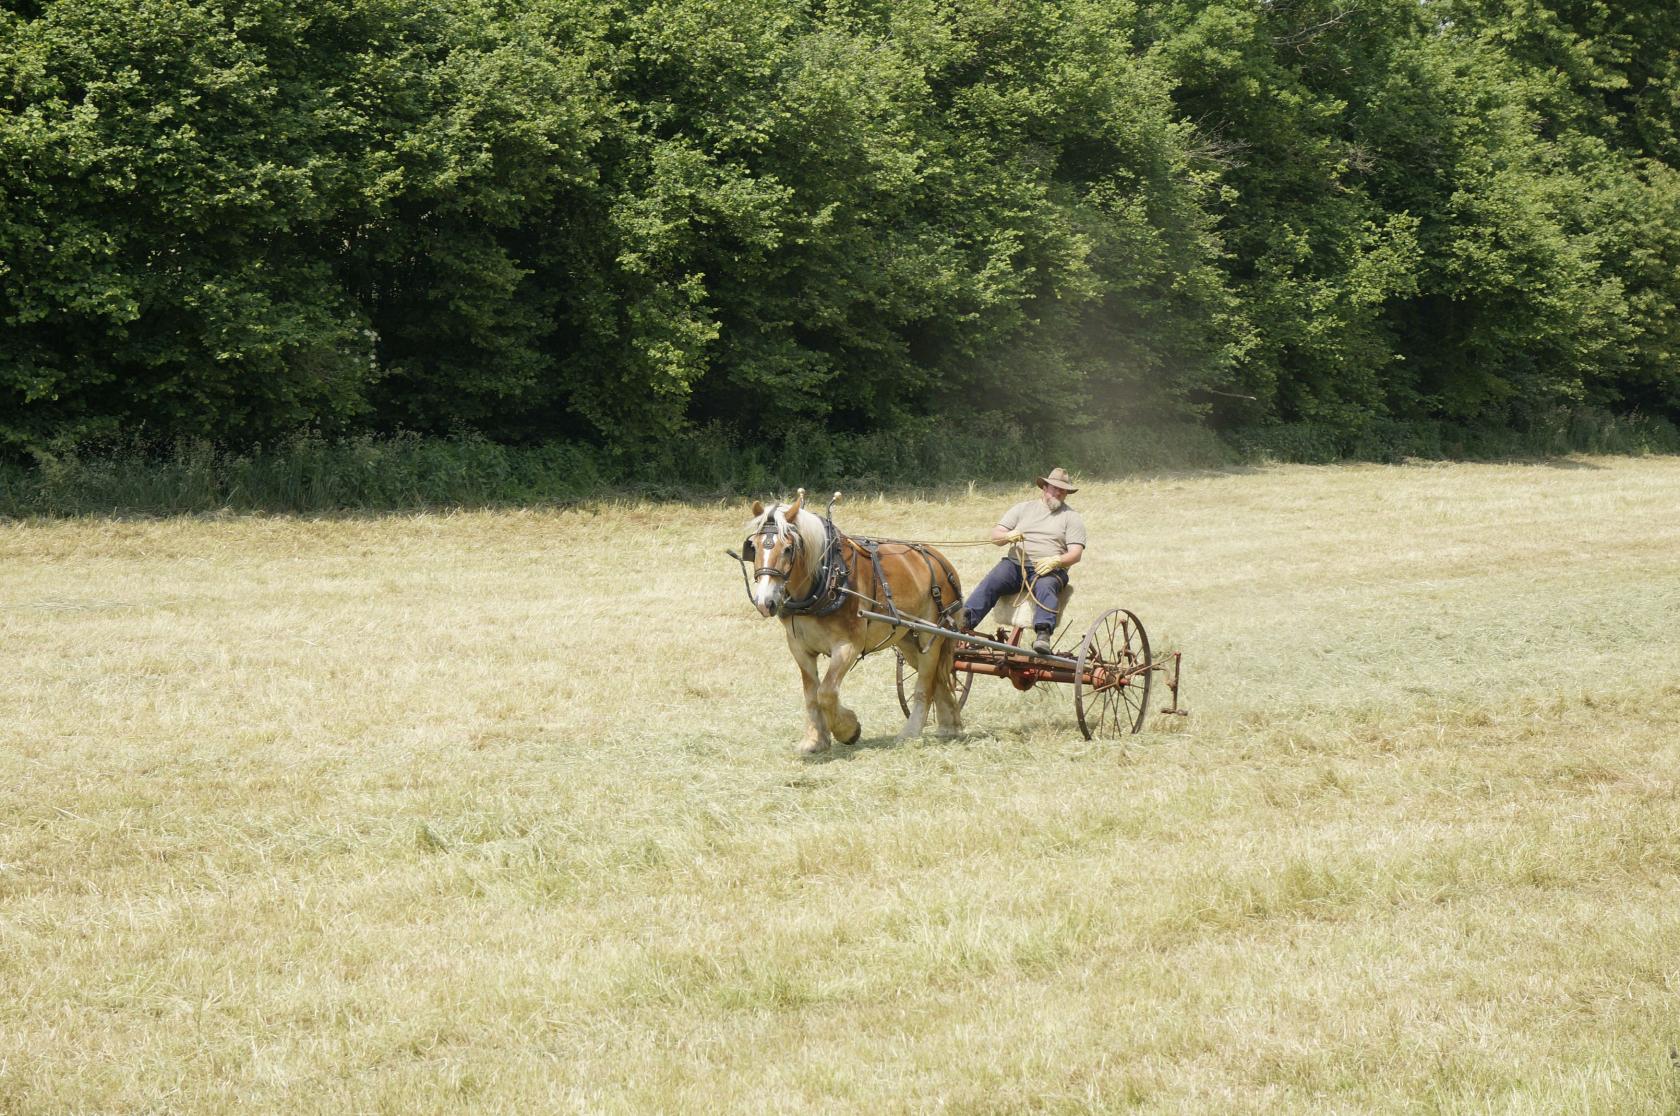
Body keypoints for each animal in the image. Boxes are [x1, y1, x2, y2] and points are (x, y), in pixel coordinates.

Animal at [742, 494, 967, 752]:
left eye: (788, 548)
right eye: (754, 547)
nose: (765, 602)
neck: (827, 578)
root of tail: (941, 560)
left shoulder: (847, 645)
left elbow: (826, 692)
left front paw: (848, 729)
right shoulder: (799, 648)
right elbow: (811, 694)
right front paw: (815, 739)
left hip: (931, 634)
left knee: (926, 682)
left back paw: (910, 732)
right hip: (908, 638)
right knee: (938, 678)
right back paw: (950, 726)